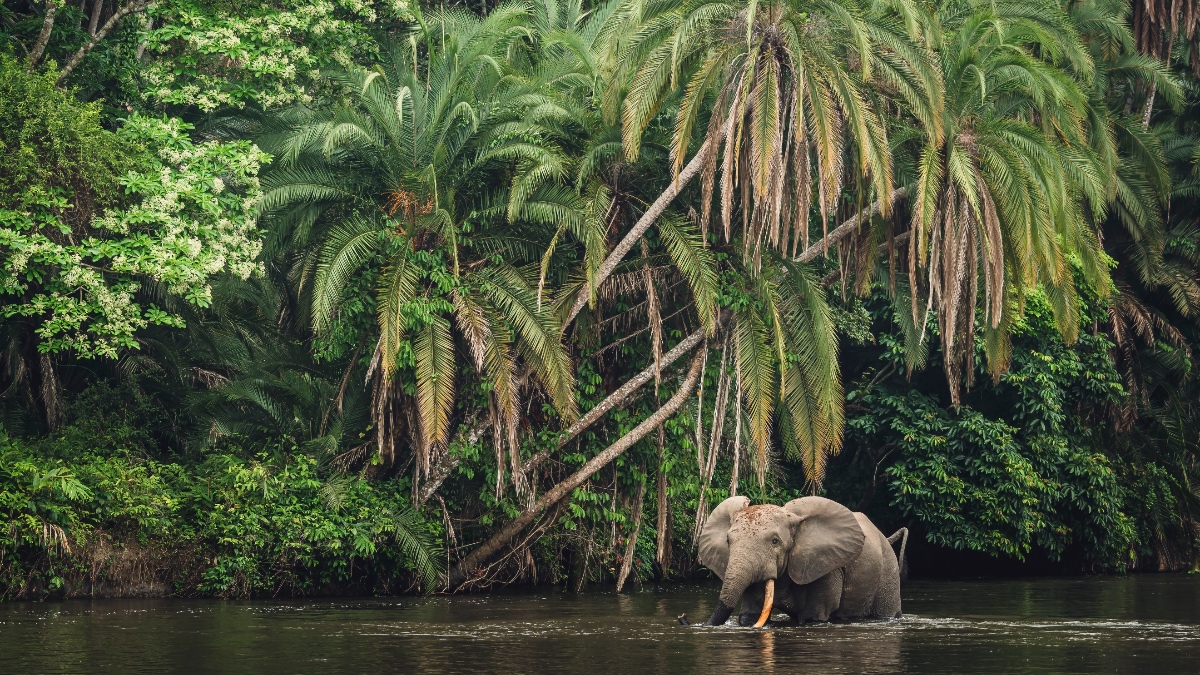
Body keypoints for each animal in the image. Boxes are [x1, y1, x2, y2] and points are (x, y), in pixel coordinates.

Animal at [692, 495, 908, 627]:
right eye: (728, 541)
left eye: (775, 541)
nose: (685, 618)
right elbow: (749, 615)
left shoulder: (827, 567)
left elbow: (814, 616)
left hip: (888, 570)